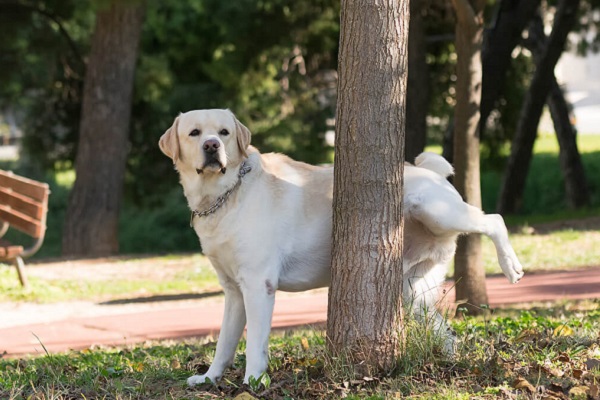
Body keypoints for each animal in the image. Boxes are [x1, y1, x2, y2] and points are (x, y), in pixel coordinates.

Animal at [157, 108, 524, 384]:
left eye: (224, 132)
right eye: (195, 133)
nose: (211, 146)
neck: (225, 194)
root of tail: (428, 171)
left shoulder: (259, 285)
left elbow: (254, 342)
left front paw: (254, 381)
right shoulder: (234, 291)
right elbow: (224, 342)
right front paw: (209, 378)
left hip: (437, 212)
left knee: (494, 219)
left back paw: (511, 266)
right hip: (412, 290)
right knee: (446, 332)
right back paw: (450, 366)